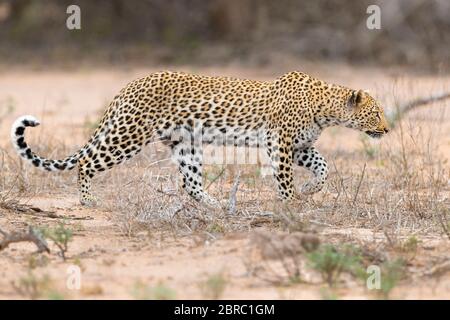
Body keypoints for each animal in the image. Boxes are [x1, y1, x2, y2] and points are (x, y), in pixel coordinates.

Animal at [10, 71, 390, 206]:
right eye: (375, 113)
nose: (387, 130)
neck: (326, 108)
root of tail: (127, 86)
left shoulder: (300, 147)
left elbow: (324, 166)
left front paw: (311, 189)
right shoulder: (279, 144)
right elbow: (284, 180)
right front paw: (291, 204)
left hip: (186, 146)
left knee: (191, 184)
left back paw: (216, 205)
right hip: (129, 134)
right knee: (88, 160)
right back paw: (89, 200)